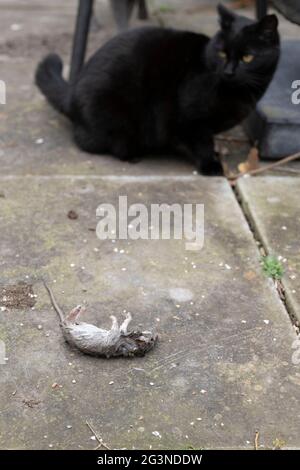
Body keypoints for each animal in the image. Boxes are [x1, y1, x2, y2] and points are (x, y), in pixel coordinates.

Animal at [35, 4, 282, 176]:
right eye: (222, 53)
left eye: (247, 57)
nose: (229, 71)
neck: (239, 93)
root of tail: (72, 90)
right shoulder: (190, 120)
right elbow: (201, 143)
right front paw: (211, 164)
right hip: (116, 117)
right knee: (88, 141)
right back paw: (133, 153)